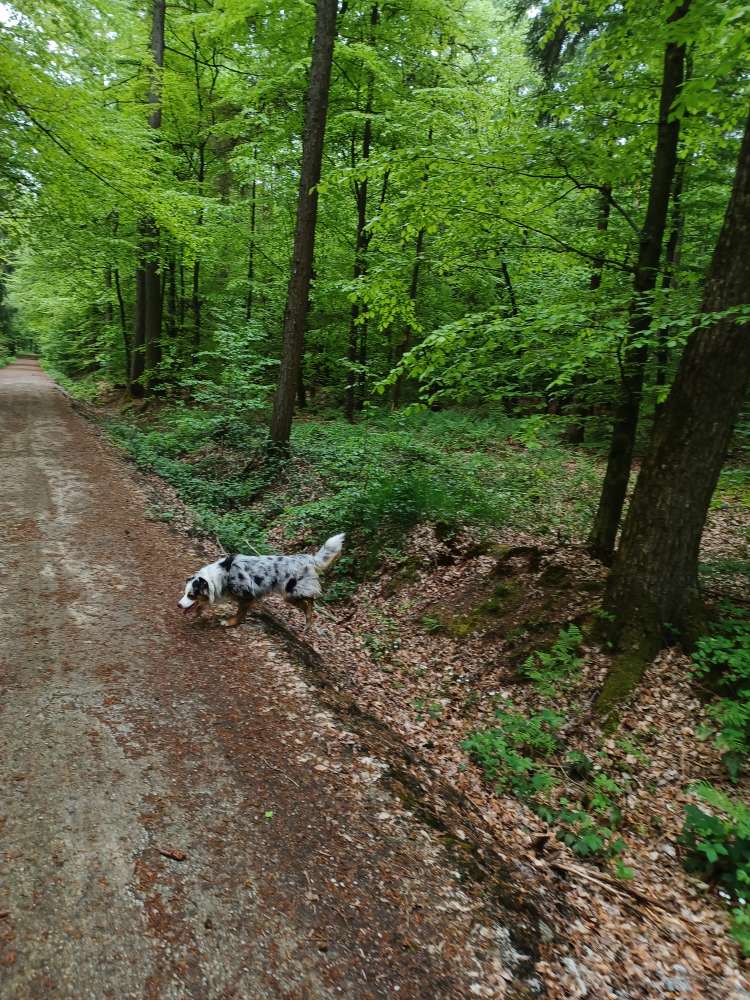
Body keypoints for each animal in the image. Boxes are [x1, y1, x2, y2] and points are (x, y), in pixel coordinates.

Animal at [178, 536, 346, 628]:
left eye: (191, 595)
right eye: (185, 593)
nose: (178, 605)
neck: (221, 576)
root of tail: (307, 558)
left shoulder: (248, 595)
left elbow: (240, 613)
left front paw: (230, 622)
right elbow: (201, 606)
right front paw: (198, 613)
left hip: (292, 592)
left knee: (311, 602)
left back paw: (309, 621)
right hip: (289, 595)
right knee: (309, 603)